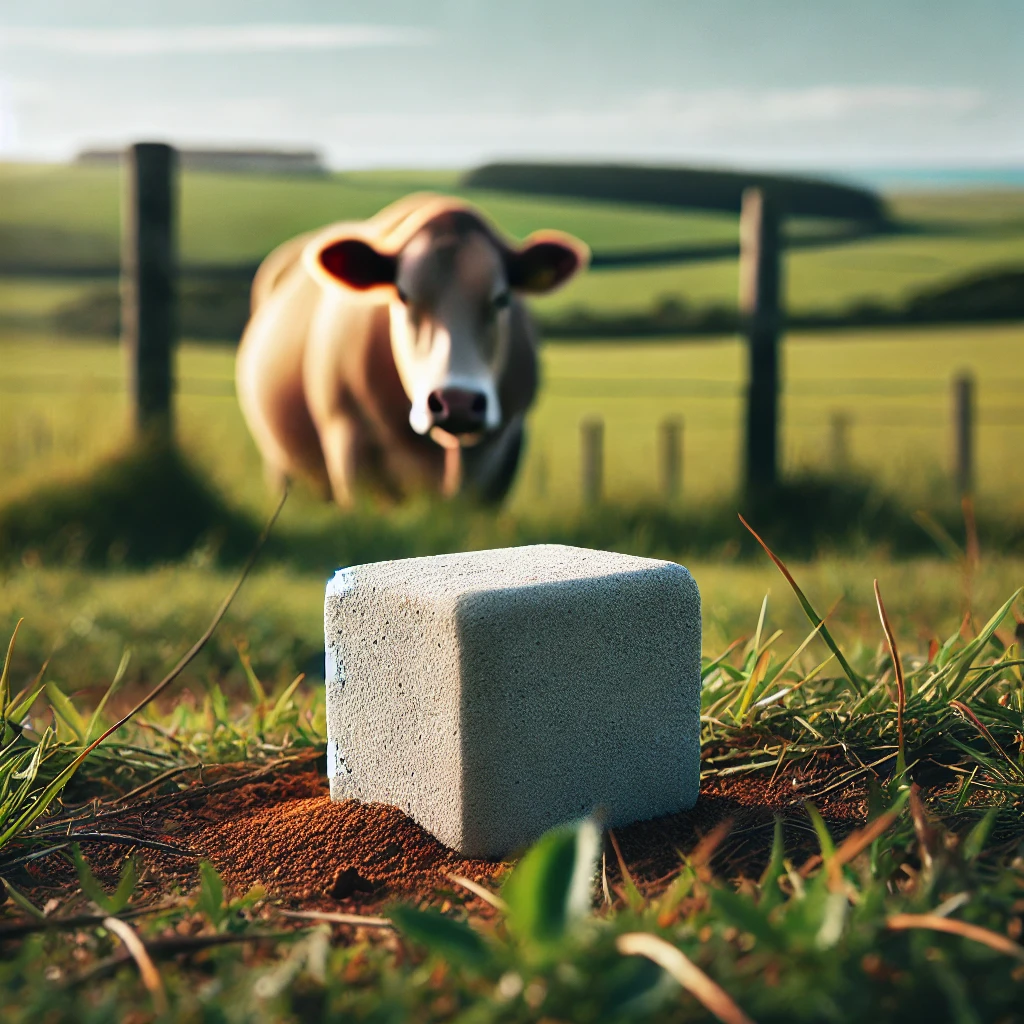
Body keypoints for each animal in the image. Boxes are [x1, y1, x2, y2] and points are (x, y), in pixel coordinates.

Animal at [235, 193, 589, 506]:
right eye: (403, 296)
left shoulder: (501, 452)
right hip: (280, 463)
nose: (457, 402)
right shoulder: (347, 437)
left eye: (502, 298)